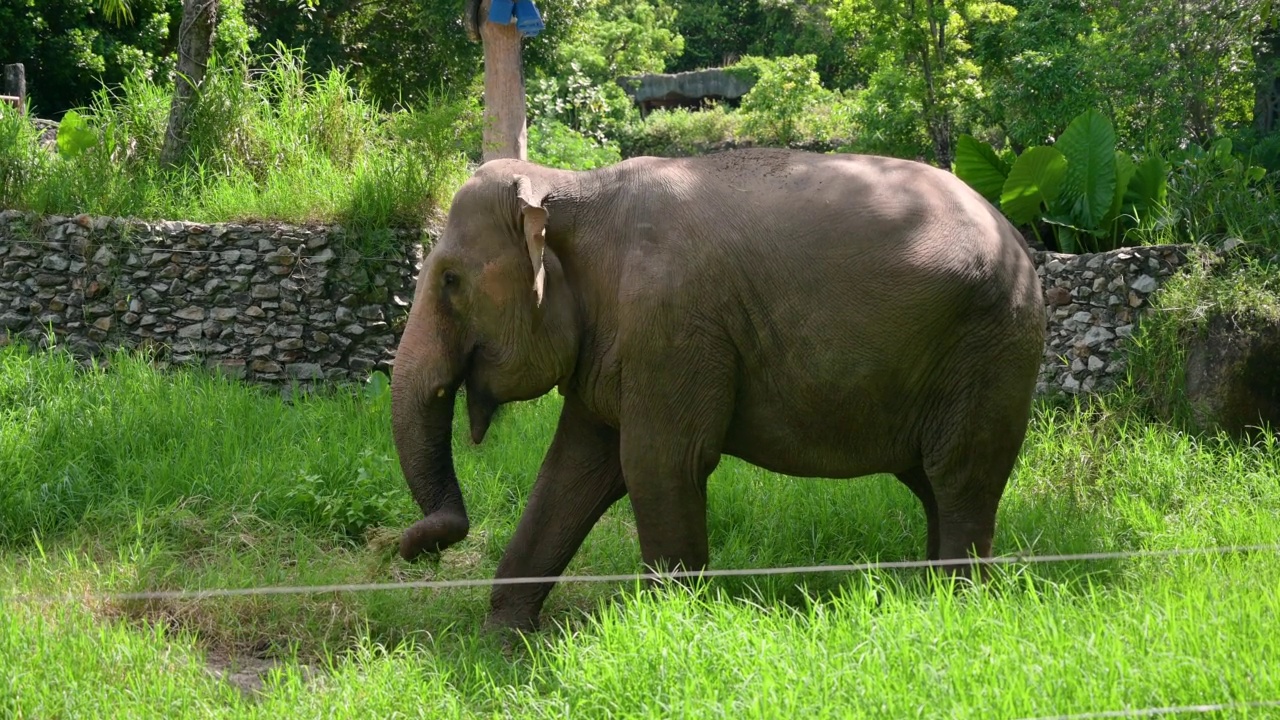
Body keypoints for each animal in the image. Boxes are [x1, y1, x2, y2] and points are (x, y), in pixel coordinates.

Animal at [391, 148, 1049, 630]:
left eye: (450, 281)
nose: (409, 547)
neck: (571, 185)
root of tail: (1020, 238)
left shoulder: (672, 325)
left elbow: (659, 463)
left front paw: (668, 628)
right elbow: (574, 468)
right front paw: (501, 644)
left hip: (990, 352)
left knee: (960, 478)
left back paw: (956, 606)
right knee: (933, 484)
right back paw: (930, 596)